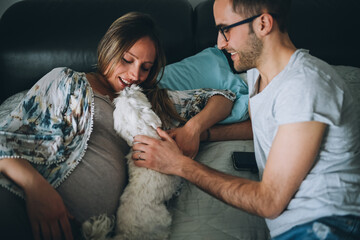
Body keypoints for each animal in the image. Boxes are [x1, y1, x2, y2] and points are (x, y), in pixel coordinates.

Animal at [82, 85, 181, 239]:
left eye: (122, 99)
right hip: (161, 221)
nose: (127, 88)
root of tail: (125, 234)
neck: (142, 134)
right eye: (134, 96)